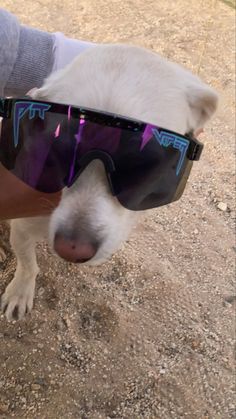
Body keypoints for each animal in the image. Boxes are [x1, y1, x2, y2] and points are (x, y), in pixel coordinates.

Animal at [0, 44, 218, 320]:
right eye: (58, 149)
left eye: (143, 164)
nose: (72, 249)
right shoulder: (22, 227)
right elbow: (28, 264)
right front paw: (20, 292)